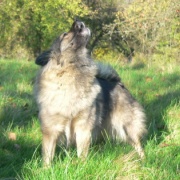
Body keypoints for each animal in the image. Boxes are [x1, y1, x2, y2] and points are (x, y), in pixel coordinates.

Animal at [34, 19, 147, 166]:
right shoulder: (51, 130)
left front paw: (81, 166)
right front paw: (46, 169)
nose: (78, 21)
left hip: (127, 126)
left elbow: (81, 153)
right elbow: (48, 156)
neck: (72, 69)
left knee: (138, 144)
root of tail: (119, 83)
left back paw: (144, 160)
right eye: (65, 35)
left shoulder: (83, 128)